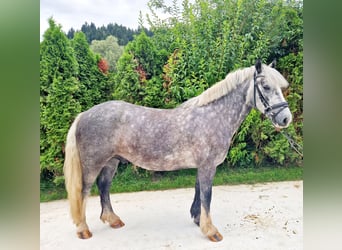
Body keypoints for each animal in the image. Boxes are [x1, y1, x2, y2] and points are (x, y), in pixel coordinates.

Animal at [63, 59, 292, 241]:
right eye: (265, 86)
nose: (285, 119)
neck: (213, 116)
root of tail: (84, 115)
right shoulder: (208, 166)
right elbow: (207, 195)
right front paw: (211, 231)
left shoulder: (203, 166)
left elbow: (199, 191)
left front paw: (198, 219)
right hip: (92, 164)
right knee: (83, 192)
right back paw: (83, 230)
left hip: (111, 161)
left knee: (104, 186)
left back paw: (113, 220)